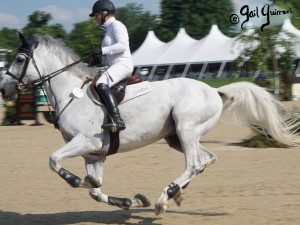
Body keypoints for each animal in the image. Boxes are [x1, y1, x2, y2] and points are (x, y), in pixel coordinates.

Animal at [1, 33, 298, 214]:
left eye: (19, 59)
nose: (4, 89)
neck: (71, 95)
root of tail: (215, 90)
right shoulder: (94, 154)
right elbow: (95, 189)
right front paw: (128, 200)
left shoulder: (84, 142)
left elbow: (54, 161)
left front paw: (75, 180)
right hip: (178, 137)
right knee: (207, 159)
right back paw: (174, 194)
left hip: (186, 129)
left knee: (194, 164)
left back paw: (164, 197)